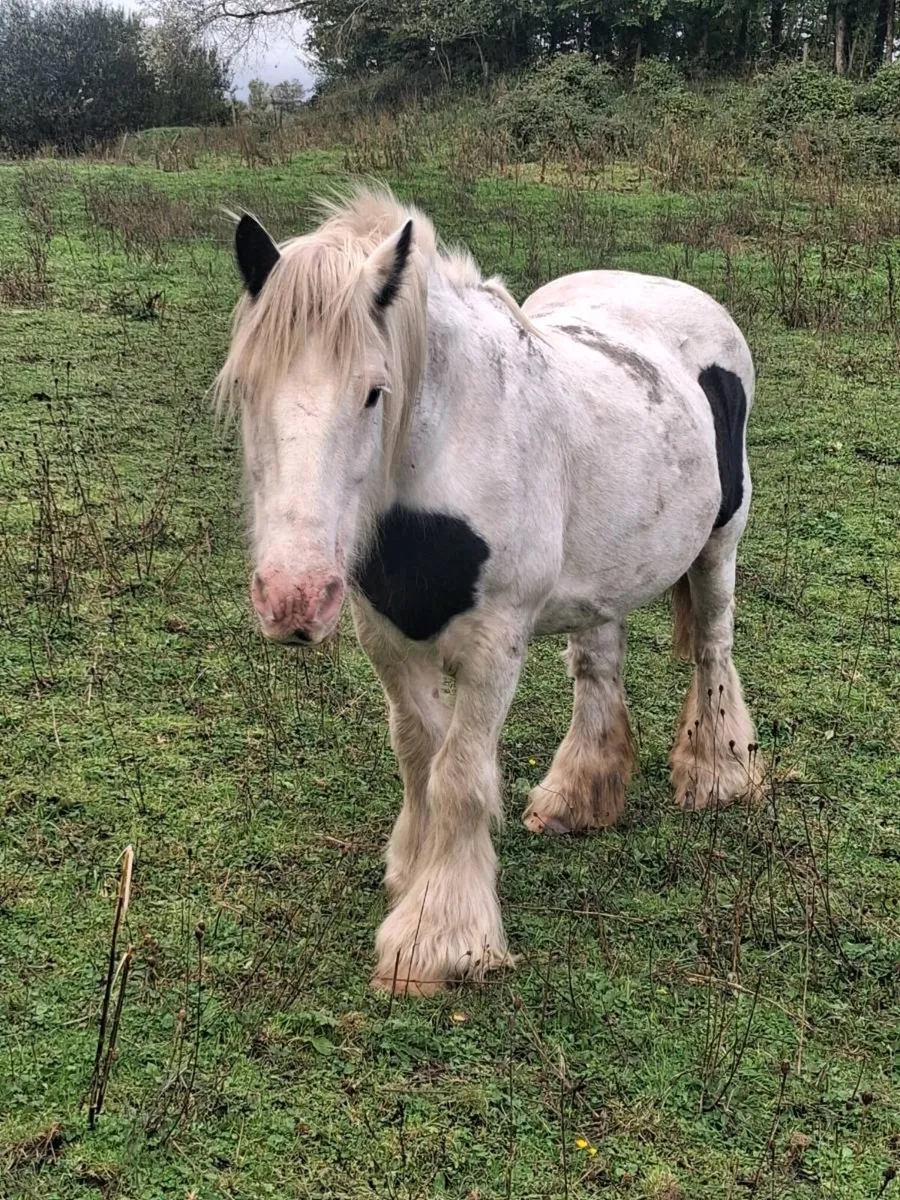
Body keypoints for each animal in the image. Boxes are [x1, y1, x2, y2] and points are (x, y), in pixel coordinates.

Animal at [215, 185, 763, 996]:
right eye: (249, 388)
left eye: (375, 393)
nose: (293, 598)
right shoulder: (387, 637)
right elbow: (419, 756)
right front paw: (412, 870)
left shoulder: (495, 644)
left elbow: (460, 777)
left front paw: (439, 938)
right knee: (598, 665)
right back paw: (579, 796)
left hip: (721, 541)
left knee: (714, 646)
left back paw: (718, 773)